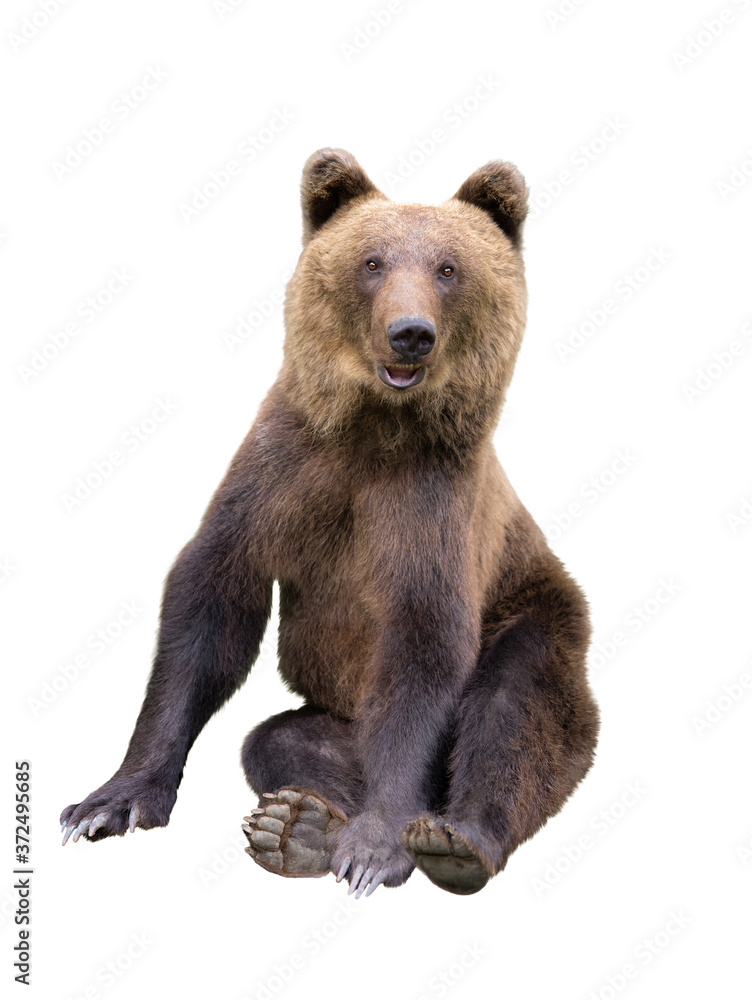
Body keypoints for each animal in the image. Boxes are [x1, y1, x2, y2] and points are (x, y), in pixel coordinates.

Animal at [60, 148, 599, 897]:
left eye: (448, 268)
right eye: (371, 262)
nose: (411, 333)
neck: (375, 430)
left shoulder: (431, 506)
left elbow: (426, 647)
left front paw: (376, 848)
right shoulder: (283, 473)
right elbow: (210, 605)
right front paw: (111, 801)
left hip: (539, 607)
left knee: (517, 710)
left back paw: (453, 840)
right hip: (342, 718)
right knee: (282, 741)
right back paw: (301, 828)